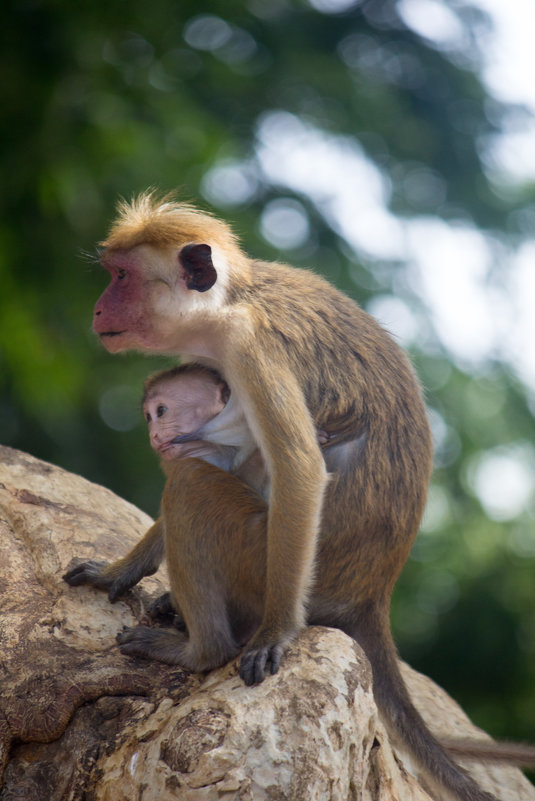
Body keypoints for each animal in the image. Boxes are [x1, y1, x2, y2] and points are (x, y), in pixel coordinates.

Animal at [92, 192, 498, 800]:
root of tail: (371, 595)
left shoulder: (250, 349)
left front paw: (275, 634)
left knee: (191, 485)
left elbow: (299, 472)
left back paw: (202, 649)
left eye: (121, 276)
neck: (231, 301)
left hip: (258, 563)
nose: (98, 309)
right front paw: (120, 570)